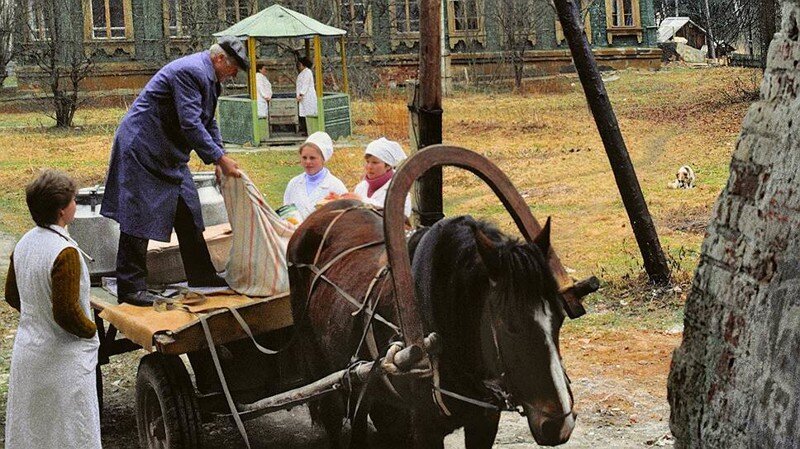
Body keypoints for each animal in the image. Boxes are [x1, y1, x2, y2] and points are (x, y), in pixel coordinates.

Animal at [288, 200, 576, 448]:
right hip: (320, 371)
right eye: (509, 324)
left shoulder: (484, 422)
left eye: (560, 318)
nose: (559, 424)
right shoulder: (424, 428)